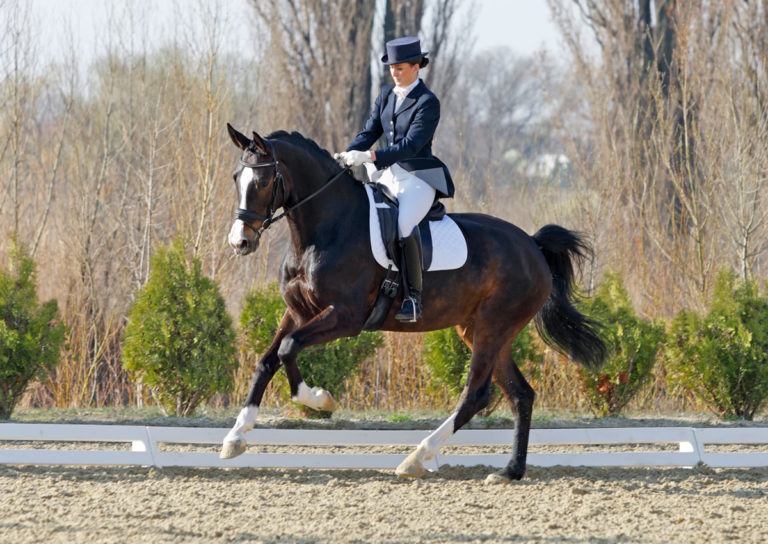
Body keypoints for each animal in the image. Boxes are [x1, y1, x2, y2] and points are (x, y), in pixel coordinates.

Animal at [220, 124, 606, 482]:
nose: (240, 243)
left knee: (476, 394)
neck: (325, 229)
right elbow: (267, 361)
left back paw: (418, 457)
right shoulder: (298, 312)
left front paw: (318, 398)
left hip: (493, 327)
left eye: (265, 181)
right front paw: (235, 437)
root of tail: (532, 244)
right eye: (237, 178)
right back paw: (510, 471)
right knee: (521, 395)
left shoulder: (345, 317)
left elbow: (288, 348)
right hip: (479, 330)